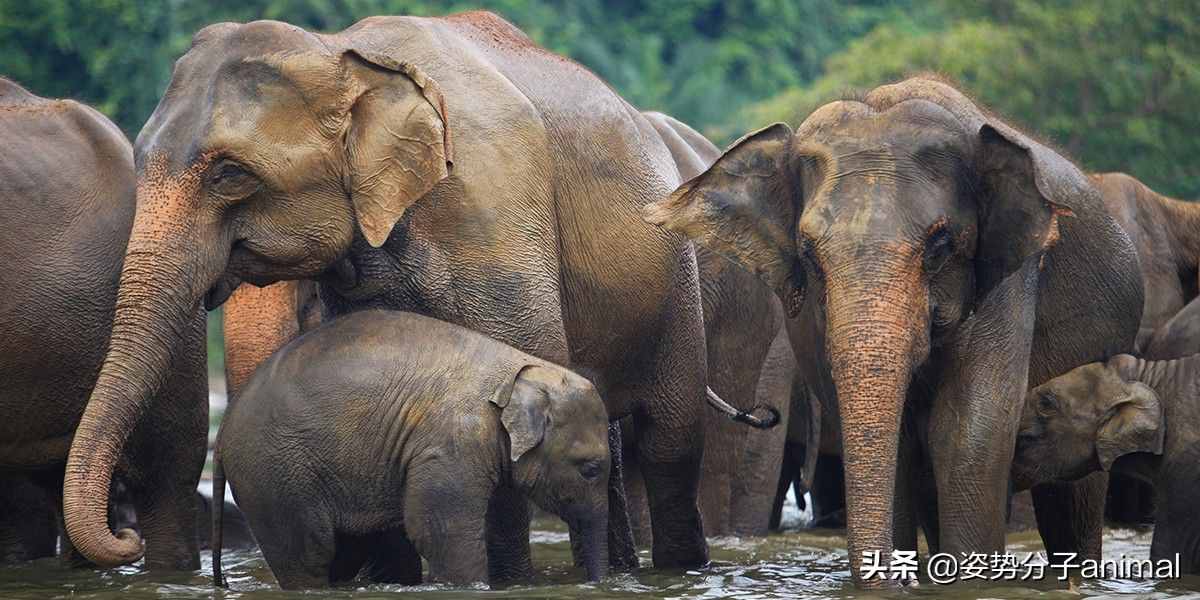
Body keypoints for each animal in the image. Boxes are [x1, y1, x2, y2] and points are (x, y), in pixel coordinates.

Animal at [213, 307, 609, 588]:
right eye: (589, 469)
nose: (593, 584)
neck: (519, 371)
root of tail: (223, 432)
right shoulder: (451, 446)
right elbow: (439, 532)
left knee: (345, 550)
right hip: (274, 475)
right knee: (309, 555)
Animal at [648, 76, 1142, 585]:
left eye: (940, 245)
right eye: (809, 253)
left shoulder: (1008, 278)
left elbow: (969, 436)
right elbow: (901, 447)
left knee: (1072, 499)